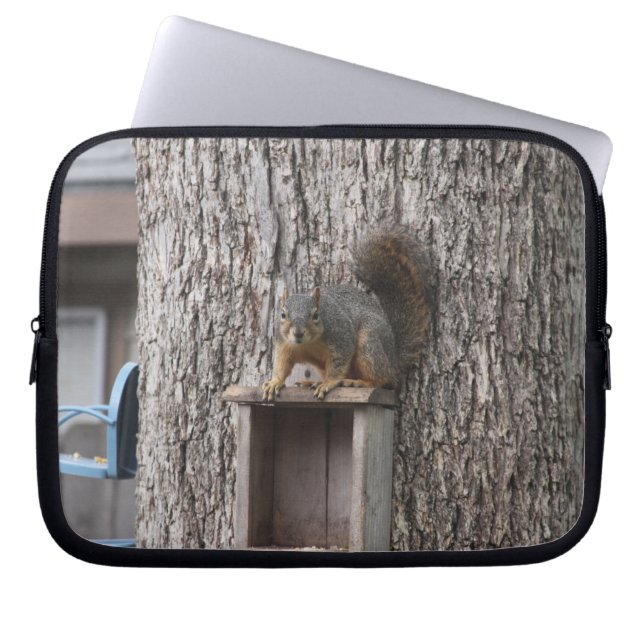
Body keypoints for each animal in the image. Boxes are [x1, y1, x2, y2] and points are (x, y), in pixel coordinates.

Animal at [262, 226, 431, 400]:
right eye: (283, 315)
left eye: (316, 315)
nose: (298, 333)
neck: (308, 344)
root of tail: (394, 359)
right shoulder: (284, 344)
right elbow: (282, 364)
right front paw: (275, 382)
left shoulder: (341, 336)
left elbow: (339, 362)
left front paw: (329, 383)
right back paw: (313, 382)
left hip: (368, 342)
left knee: (384, 379)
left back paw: (358, 382)